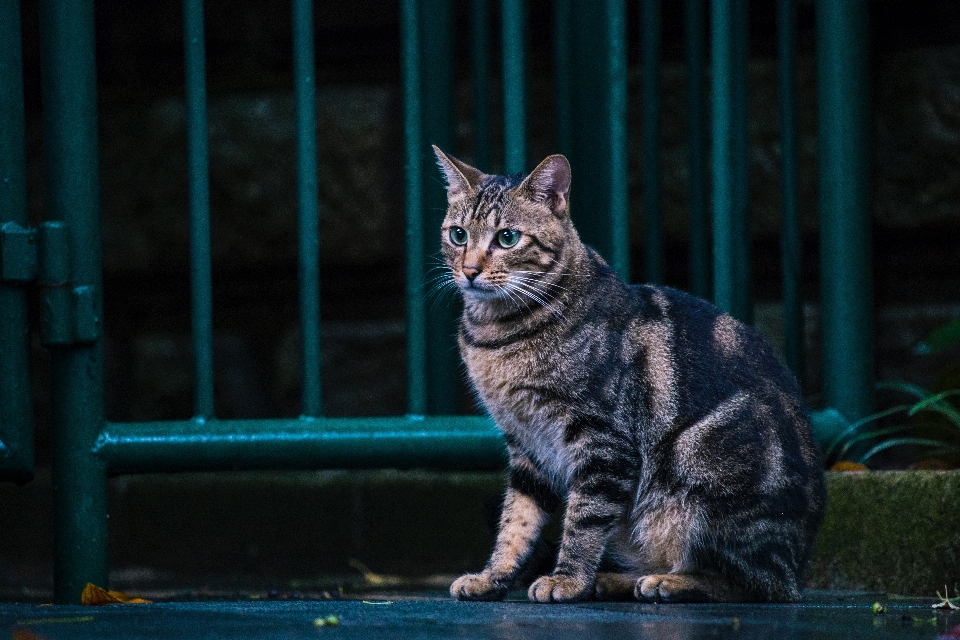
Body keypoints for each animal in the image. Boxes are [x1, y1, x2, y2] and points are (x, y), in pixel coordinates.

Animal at [432, 146, 828, 604]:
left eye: (507, 238)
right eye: (458, 235)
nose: (470, 270)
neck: (495, 335)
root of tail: (799, 567)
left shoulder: (603, 439)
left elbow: (583, 521)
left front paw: (567, 579)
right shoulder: (525, 444)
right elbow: (516, 522)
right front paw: (492, 576)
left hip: (701, 459)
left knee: (751, 582)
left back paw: (668, 582)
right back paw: (616, 579)